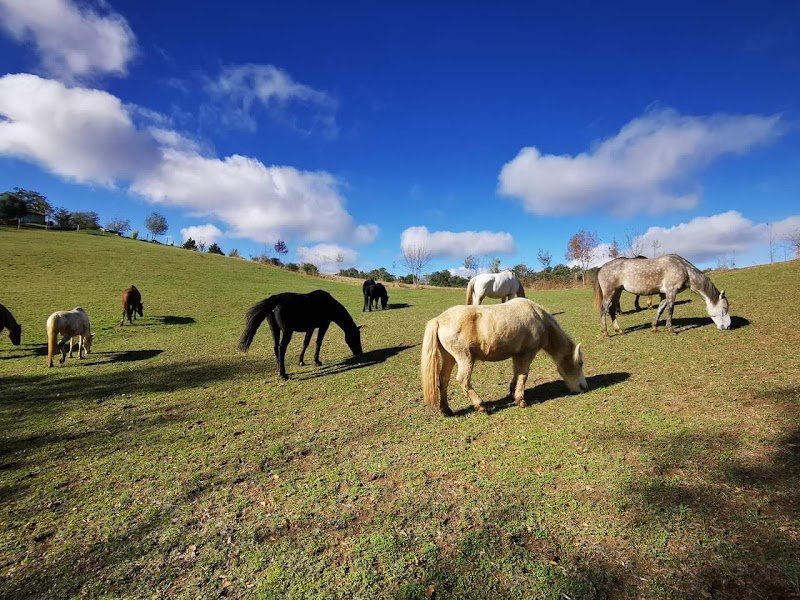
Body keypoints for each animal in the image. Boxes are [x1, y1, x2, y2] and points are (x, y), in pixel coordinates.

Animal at [421, 298, 588, 416]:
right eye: (580, 363)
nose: (584, 388)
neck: (539, 318)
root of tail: (439, 319)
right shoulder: (528, 352)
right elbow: (523, 374)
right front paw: (520, 400)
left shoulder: (517, 354)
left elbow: (516, 372)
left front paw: (512, 392)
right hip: (465, 358)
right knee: (463, 380)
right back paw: (480, 406)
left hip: (449, 358)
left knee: (443, 380)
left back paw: (446, 410)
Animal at [594, 254, 731, 336]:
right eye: (724, 308)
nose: (728, 327)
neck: (684, 269)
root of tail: (601, 268)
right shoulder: (671, 291)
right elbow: (670, 310)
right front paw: (671, 330)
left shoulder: (665, 294)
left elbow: (660, 309)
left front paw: (655, 327)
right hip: (610, 292)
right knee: (604, 310)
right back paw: (605, 333)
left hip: (618, 291)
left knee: (612, 310)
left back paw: (619, 330)